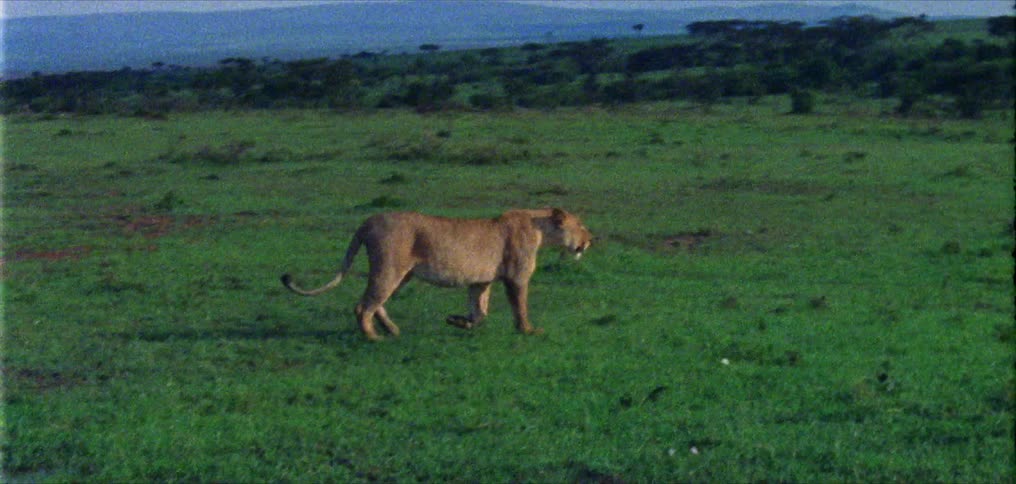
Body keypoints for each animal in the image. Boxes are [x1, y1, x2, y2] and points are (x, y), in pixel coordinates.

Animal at [281, 208, 592, 340]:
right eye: (580, 225)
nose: (590, 240)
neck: (540, 227)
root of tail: (369, 220)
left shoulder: (480, 281)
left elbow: (480, 311)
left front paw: (459, 321)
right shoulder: (516, 276)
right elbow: (520, 307)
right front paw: (528, 330)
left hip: (401, 274)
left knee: (377, 302)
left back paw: (391, 330)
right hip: (390, 267)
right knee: (363, 305)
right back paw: (373, 337)